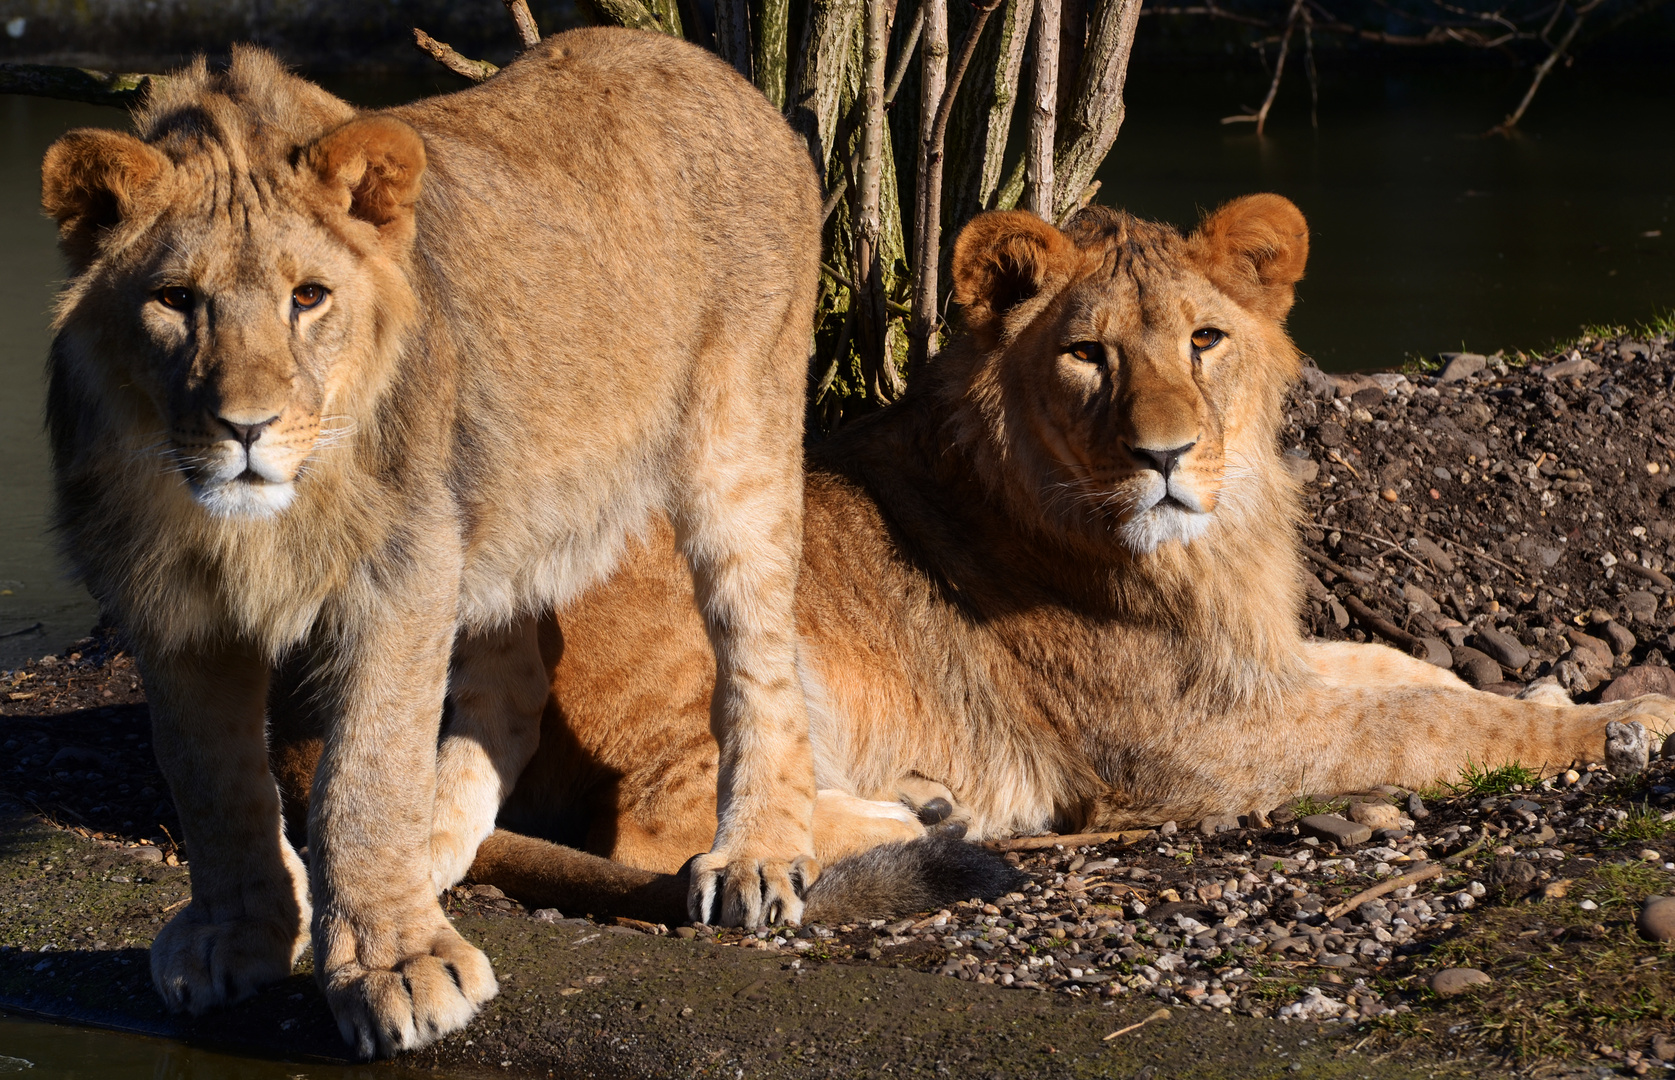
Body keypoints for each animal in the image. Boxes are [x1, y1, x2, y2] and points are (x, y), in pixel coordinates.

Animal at [278, 193, 1675, 917]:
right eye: (1089, 354)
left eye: (1207, 339)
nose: (1166, 457)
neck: (1203, 548)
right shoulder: (1207, 747)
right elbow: (1429, 727)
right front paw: (1619, 725)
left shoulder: (1262, 666)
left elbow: (1404, 672)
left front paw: (1578, 688)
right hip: (718, 628)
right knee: (664, 830)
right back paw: (905, 820)